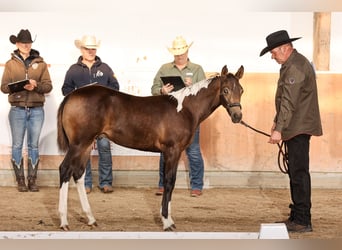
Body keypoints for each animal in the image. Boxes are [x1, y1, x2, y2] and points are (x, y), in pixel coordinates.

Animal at [56, 64, 243, 230]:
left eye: (241, 90)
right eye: (225, 90)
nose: (237, 116)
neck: (185, 109)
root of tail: (71, 95)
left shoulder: (171, 152)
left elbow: (169, 182)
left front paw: (168, 218)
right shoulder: (172, 150)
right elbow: (169, 182)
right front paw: (167, 222)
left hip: (87, 145)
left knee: (78, 174)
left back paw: (91, 219)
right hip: (78, 144)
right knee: (65, 169)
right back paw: (64, 221)